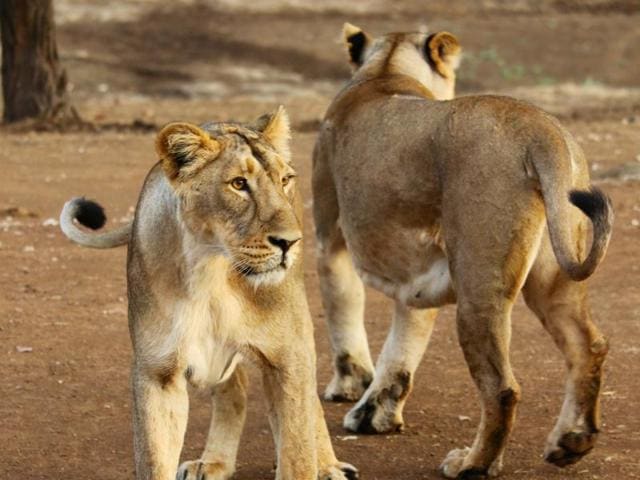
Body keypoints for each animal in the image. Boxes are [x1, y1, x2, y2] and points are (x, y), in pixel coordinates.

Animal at [60, 107, 357, 480]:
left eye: (285, 180)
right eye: (238, 184)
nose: (291, 242)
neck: (211, 270)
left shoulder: (288, 353)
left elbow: (297, 450)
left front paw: (308, 462)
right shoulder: (157, 371)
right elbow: (154, 458)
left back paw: (328, 465)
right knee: (236, 388)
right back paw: (213, 462)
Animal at [312, 24, 613, 477]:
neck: (386, 70)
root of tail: (539, 130)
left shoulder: (330, 242)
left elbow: (344, 316)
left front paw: (350, 389)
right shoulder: (420, 274)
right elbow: (403, 344)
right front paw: (376, 414)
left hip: (478, 284)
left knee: (502, 388)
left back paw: (472, 464)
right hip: (555, 273)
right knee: (587, 345)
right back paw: (571, 442)